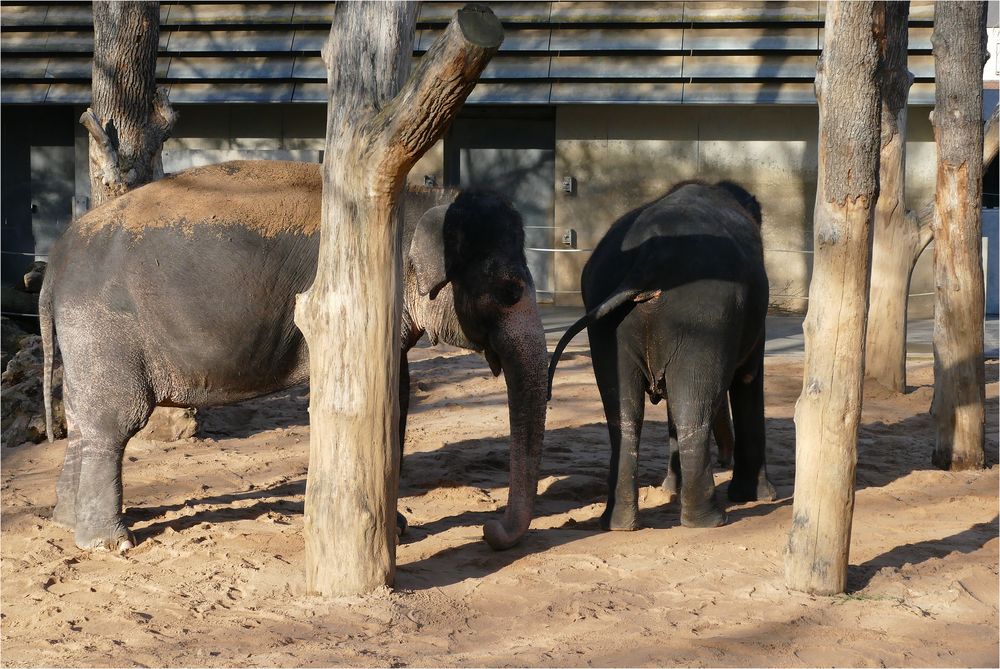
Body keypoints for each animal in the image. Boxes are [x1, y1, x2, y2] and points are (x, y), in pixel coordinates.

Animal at [41, 159, 548, 552]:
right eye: (509, 291)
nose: (489, 530)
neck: (424, 197)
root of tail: (54, 262)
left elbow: (398, 396)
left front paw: (400, 529)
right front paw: (398, 531)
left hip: (85, 333)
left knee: (81, 420)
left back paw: (66, 522)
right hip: (104, 324)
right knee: (114, 423)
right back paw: (110, 543)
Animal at [548, 179, 772, 532]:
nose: (725, 457)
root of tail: (649, 258)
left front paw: (670, 490)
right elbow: (748, 378)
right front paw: (758, 496)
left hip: (607, 320)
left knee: (625, 416)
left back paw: (618, 524)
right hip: (704, 318)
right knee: (693, 409)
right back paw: (709, 521)